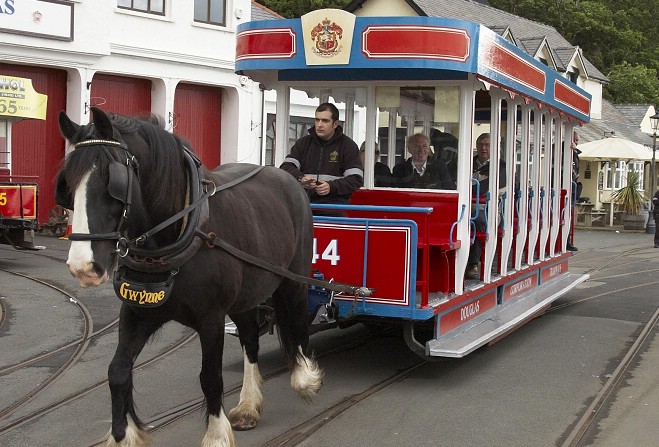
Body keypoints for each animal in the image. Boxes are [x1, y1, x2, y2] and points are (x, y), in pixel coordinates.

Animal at [55, 108, 324, 447]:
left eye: (110, 180)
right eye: (67, 184)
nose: (83, 266)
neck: (176, 232)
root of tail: (288, 178)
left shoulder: (211, 319)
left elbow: (210, 377)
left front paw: (216, 435)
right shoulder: (137, 311)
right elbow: (117, 371)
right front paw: (123, 435)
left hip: (292, 279)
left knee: (297, 319)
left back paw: (305, 377)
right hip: (245, 296)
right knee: (250, 338)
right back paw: (248, 405)